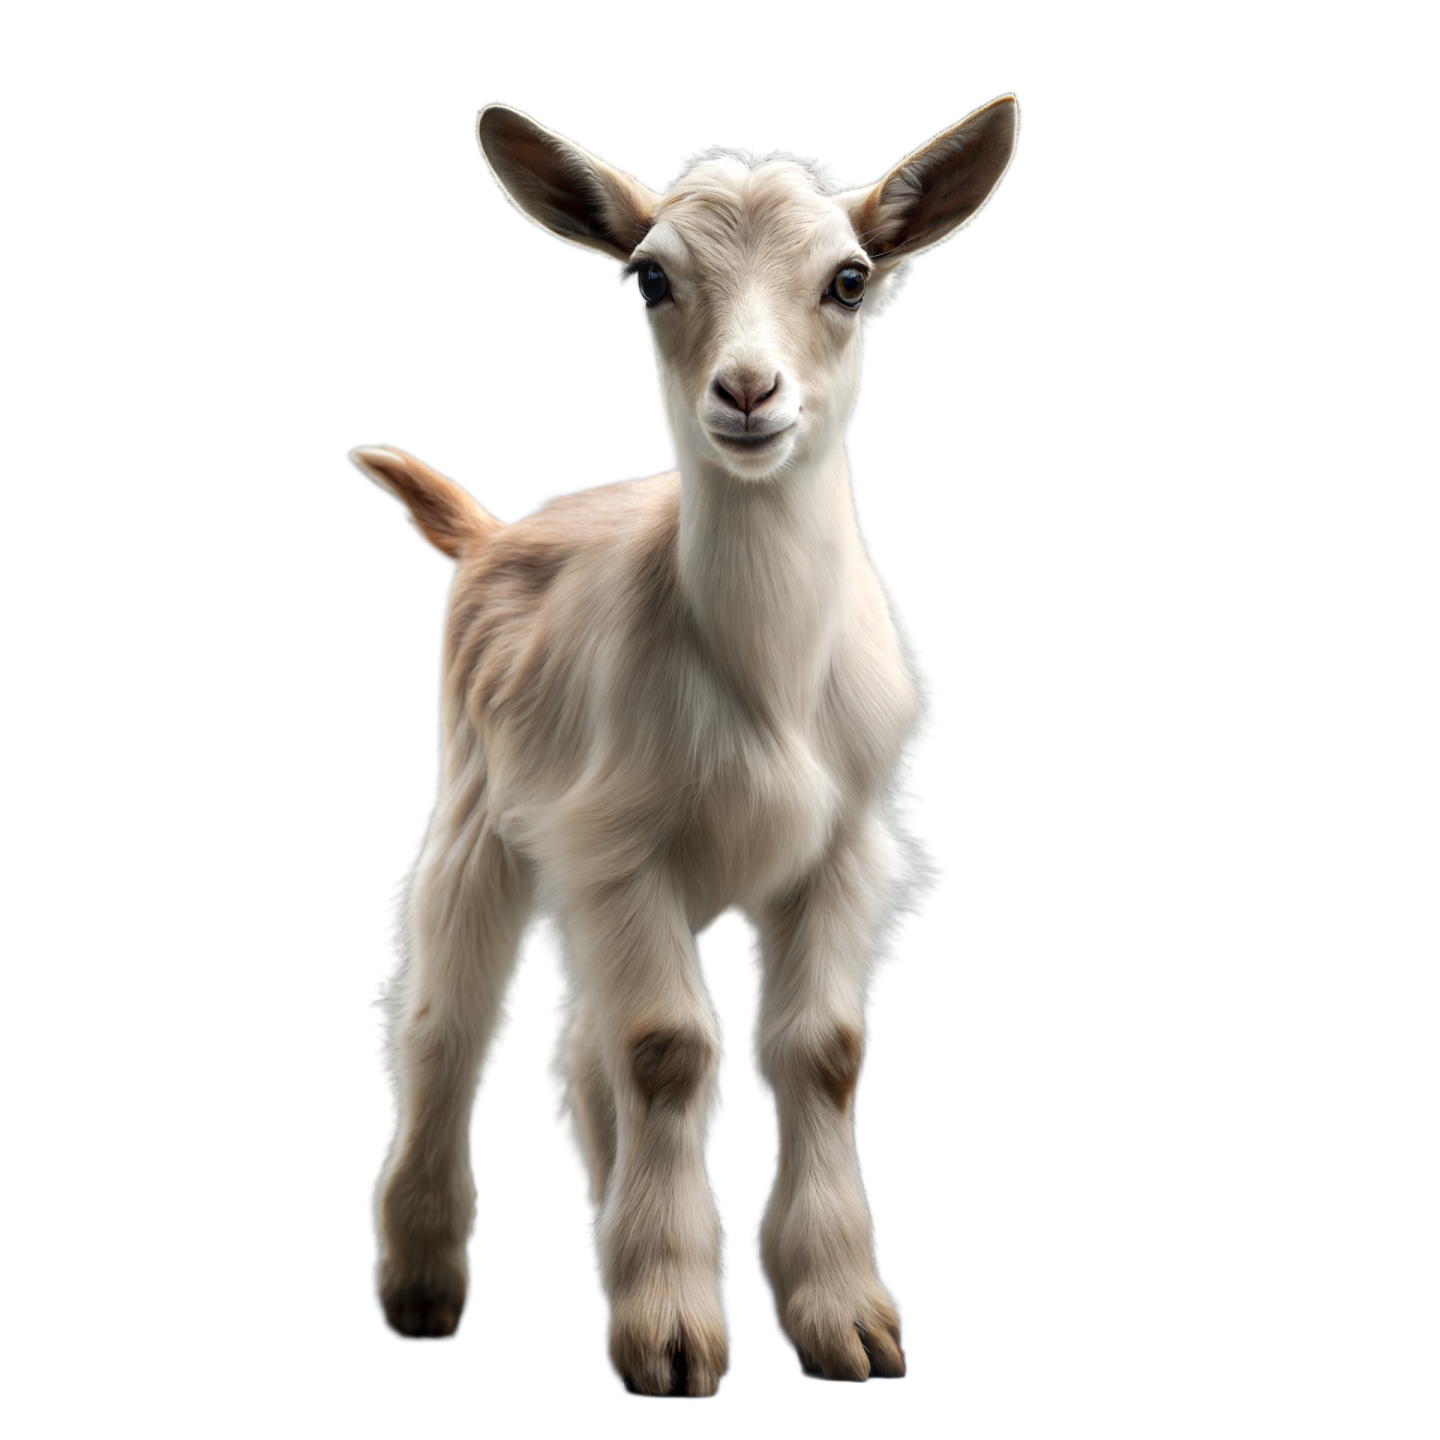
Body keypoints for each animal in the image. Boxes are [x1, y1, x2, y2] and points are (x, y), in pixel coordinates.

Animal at [349, 94, 1020, 1393]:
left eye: (850, 278)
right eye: (650, 277)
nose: (749, 392)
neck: (761, 671)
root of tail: (495, 532)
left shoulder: (840, 850)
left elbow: (821, 1051)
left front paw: (844, 1320)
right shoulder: (621, 845)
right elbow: (668, 1048)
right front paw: (670, 1335)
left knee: (577, 1051)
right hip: (481, 812)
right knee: (451, 1019)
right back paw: (423, 1285)